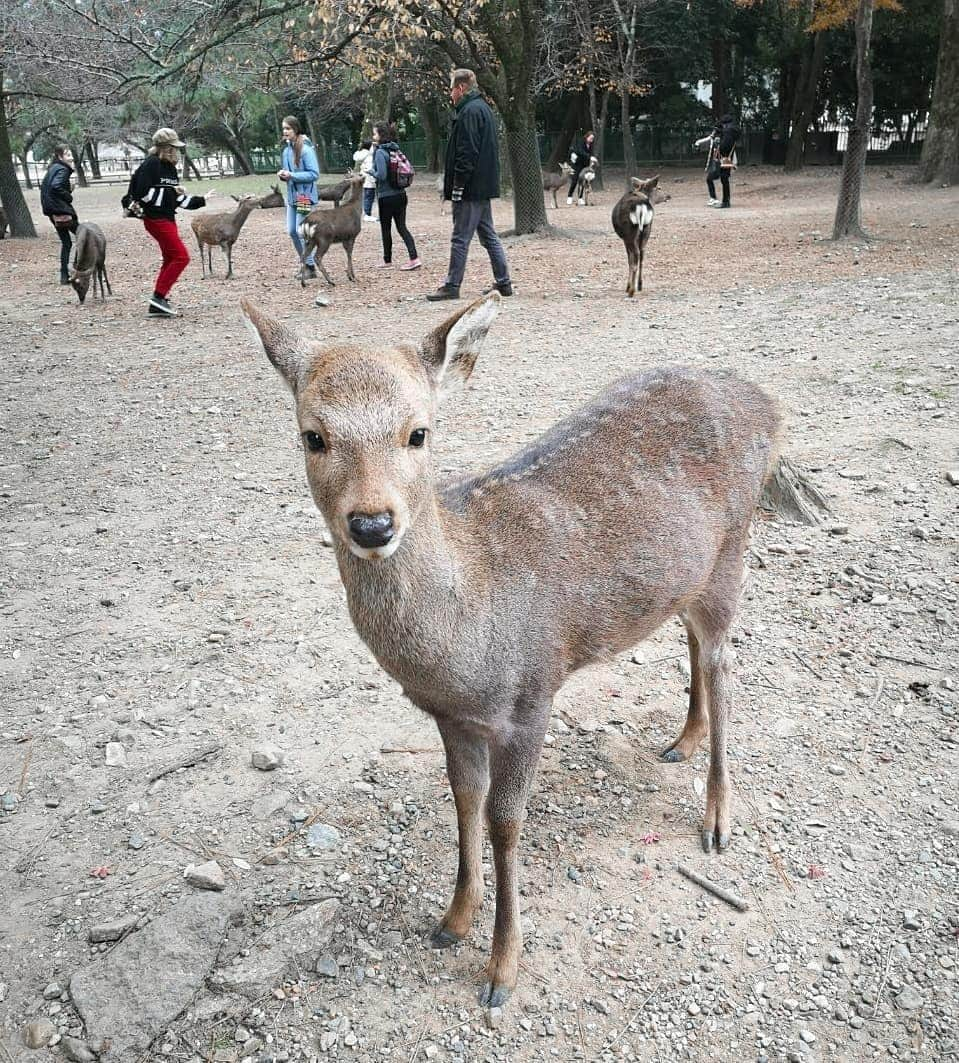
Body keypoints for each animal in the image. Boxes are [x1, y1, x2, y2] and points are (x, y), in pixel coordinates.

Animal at [240, 287, 782, 1007]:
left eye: (418, 431)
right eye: (313, 435)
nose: (372, 523)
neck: (465, 642)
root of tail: (764, 400)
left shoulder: (531, 695)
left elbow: (504, 819)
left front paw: (501, 967)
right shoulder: (450, 717)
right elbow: (463, 800)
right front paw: (452, 919)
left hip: (732, 549)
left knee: (724, 662)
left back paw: (717, 818)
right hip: (683, 575)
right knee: (692, 641)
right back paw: (681, 739)